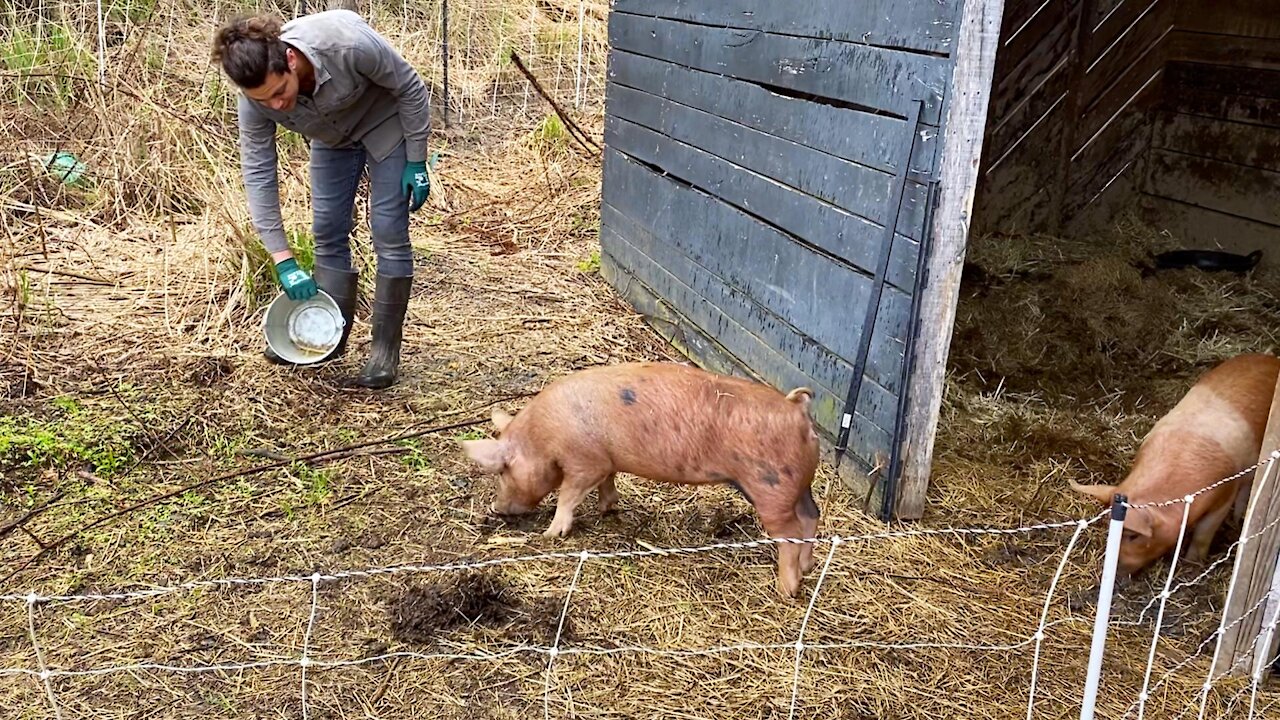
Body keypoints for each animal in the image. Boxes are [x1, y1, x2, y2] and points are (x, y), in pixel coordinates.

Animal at [460, 361, 819, 597]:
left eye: (502, 470)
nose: (497, 508)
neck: (542, 437)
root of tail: (796, 409)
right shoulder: (605, 461)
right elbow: (607, 482)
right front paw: (607, 509)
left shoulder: (584, 462)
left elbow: (568, 495)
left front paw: (551, 534)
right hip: (799, 485)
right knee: (811, 517)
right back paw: (807, 569)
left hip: (770, 485)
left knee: (791, 531)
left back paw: (787, 590)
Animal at [1070, 353, 1280, 576]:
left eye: (1133, 536)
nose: (1116, 572)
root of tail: (1271, 359)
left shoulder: (1225, 493)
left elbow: (1204, 533)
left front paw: (1192, 563)